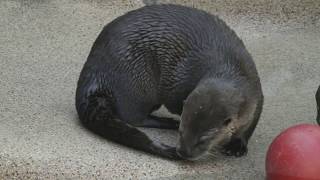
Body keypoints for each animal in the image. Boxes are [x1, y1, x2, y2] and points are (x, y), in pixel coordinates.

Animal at [75, 3, 262, 160]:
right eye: (181, 131)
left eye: (203, 139)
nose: (183, 153)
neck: (230, 65)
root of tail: (94, 74)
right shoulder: (178, 82)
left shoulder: (256, 95)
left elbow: (250, 125)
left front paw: (237, 146)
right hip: (134, 82)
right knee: (134, 117)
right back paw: (167, 121)